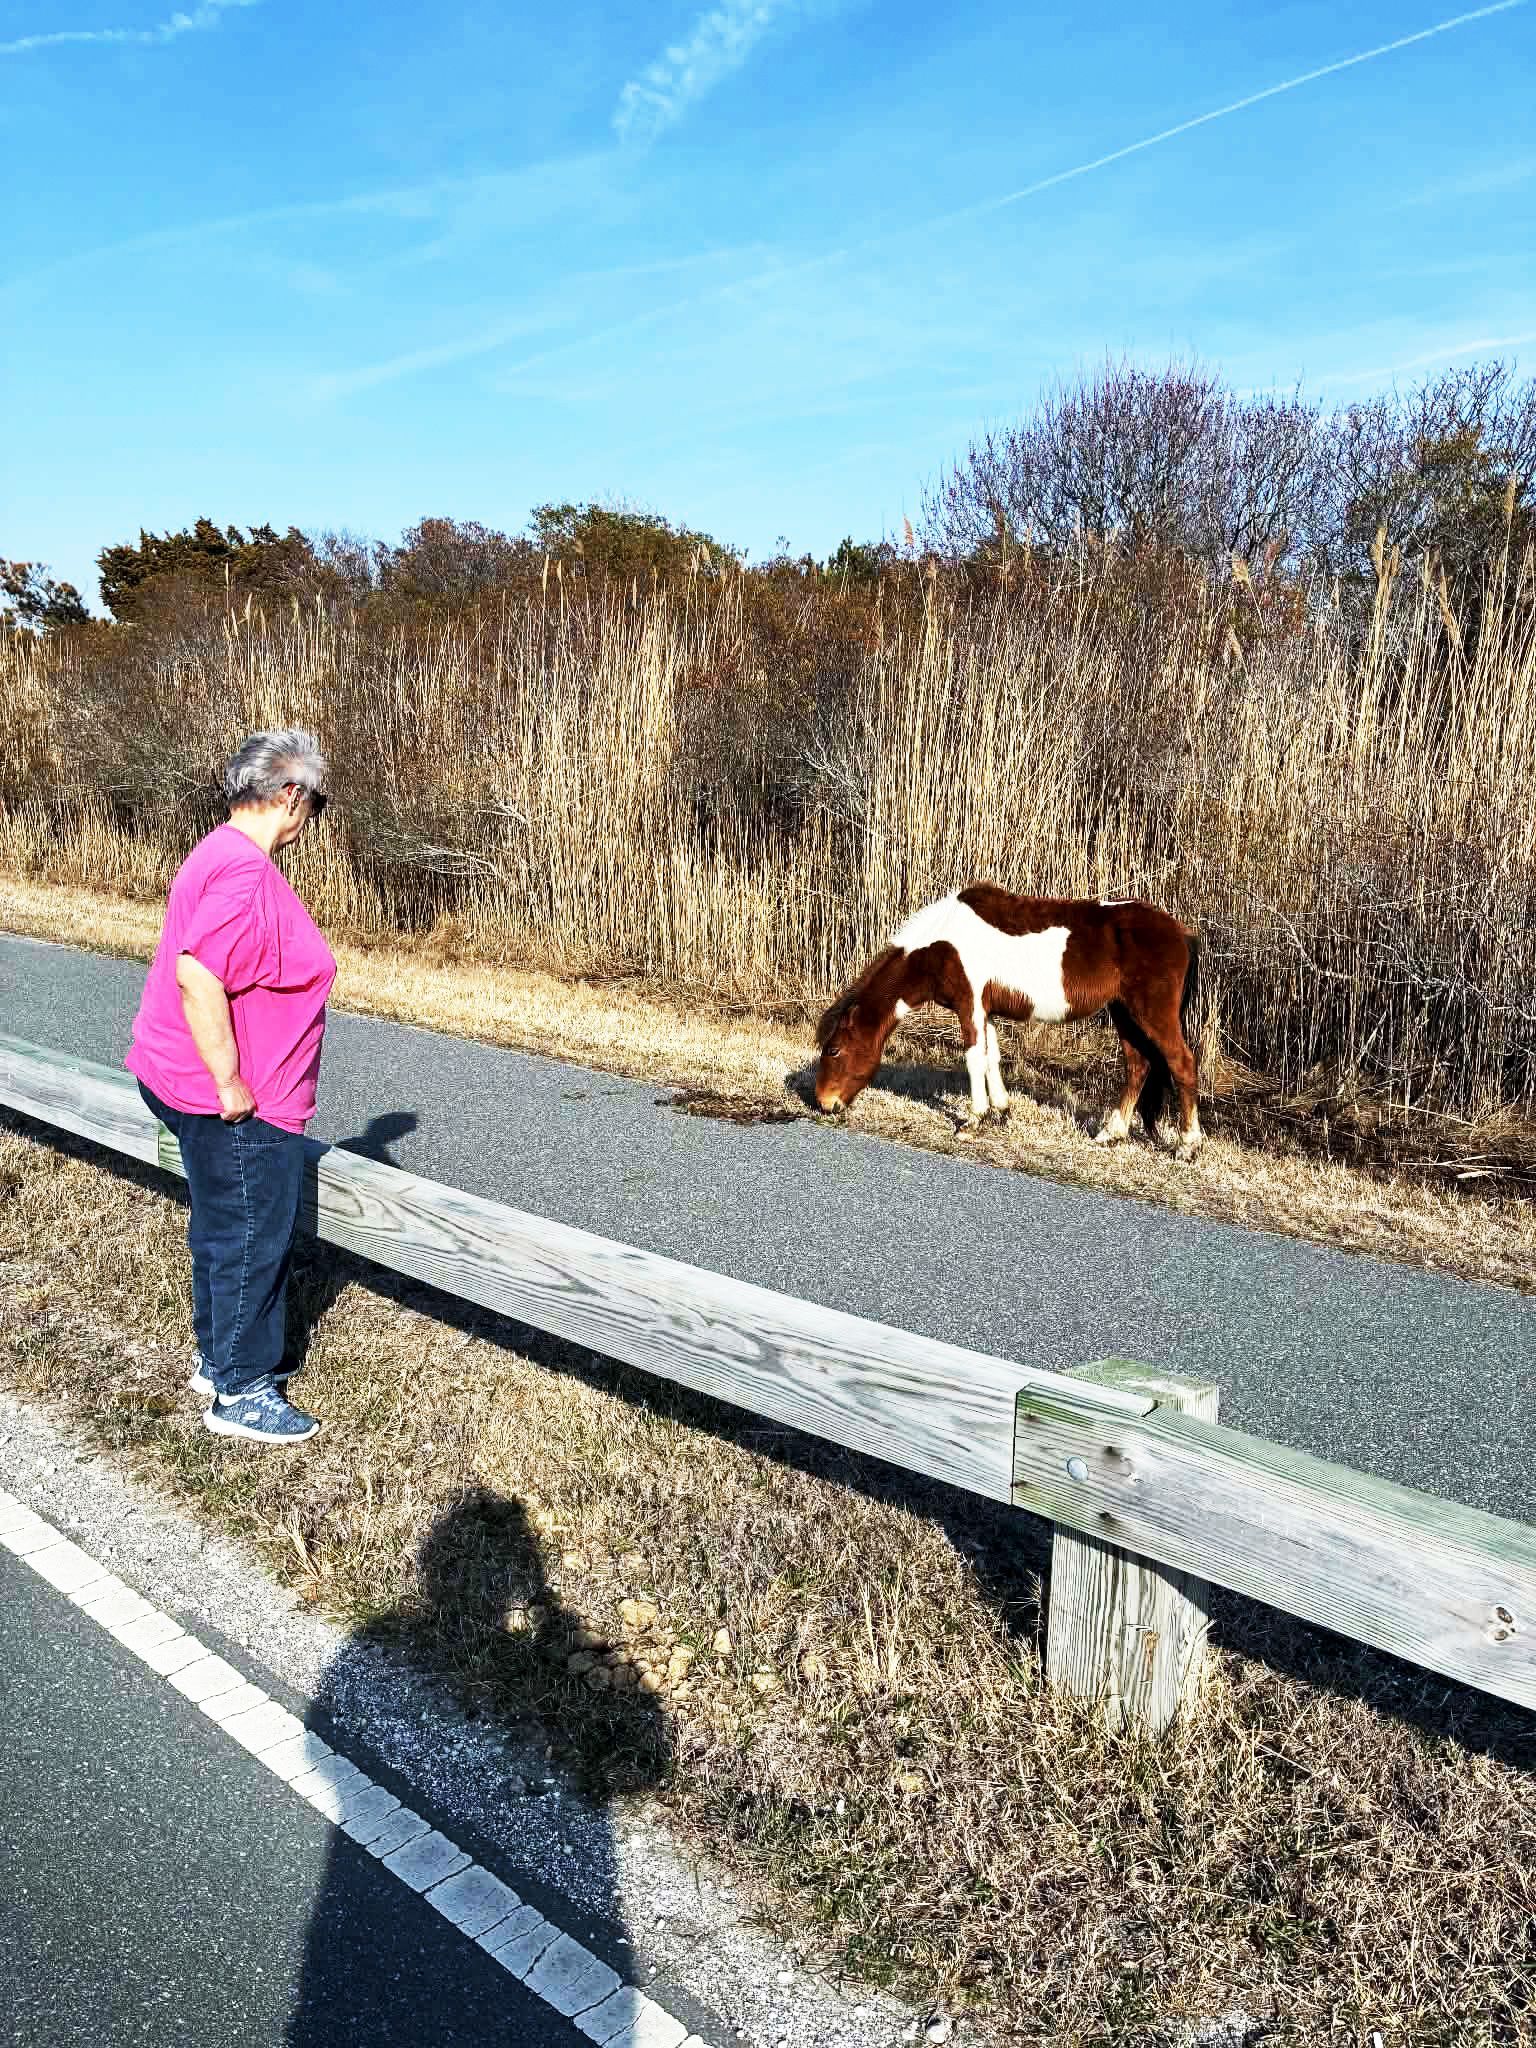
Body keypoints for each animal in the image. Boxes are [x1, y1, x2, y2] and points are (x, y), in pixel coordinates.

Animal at [814, 885, 1203, 1158]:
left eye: (834, 1050)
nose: (823, 1103)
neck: (939, 944)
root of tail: (1182, 932)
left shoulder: (969, 1005)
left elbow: (973, 1058)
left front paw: (972, 1120)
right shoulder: (984, 1010)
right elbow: (991, 1058)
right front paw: (1000, 1111)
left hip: (1151, 1012)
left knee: (1181, 1063)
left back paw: (1188, 1145)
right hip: (1124, 1012)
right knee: (1138, 1066)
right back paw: (1111, 1133)